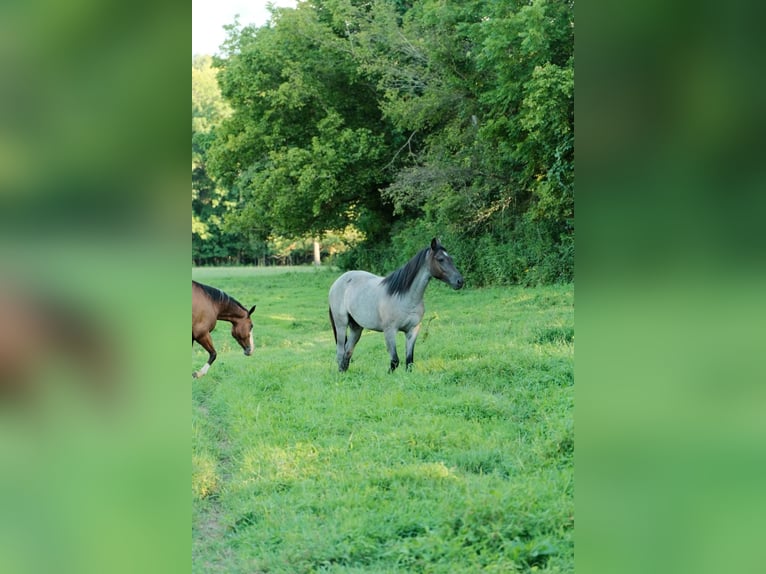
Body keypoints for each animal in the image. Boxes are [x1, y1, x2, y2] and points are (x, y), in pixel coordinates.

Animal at [328, 238, 464, 373]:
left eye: (451, 258)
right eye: (440, 259)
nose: (460, 281)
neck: (406, 298)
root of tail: (337, 283)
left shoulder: (412, 330)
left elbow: (409, 362)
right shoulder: (390, 331)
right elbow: (395, 361)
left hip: (356, 328)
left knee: (347, 352)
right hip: (341, 325)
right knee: (340, 353)